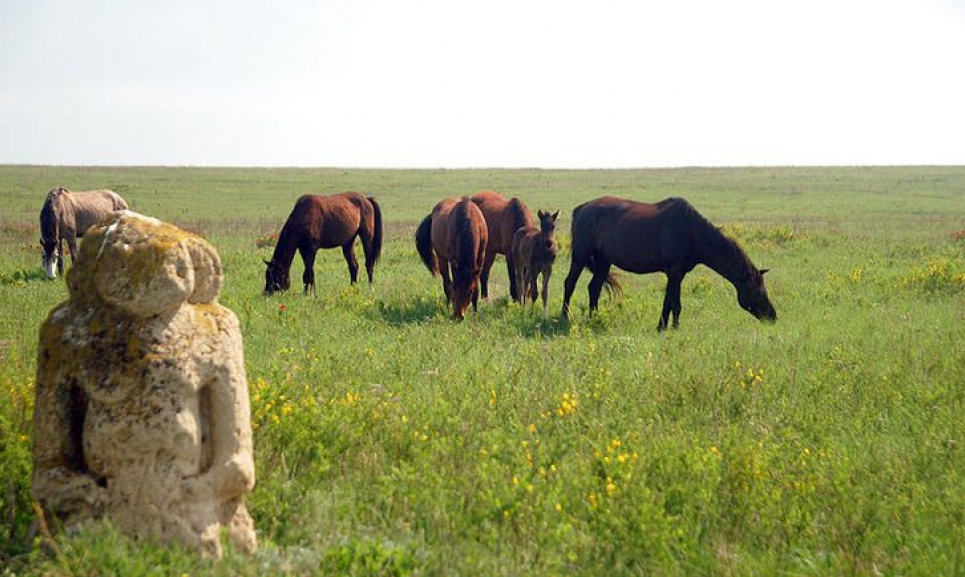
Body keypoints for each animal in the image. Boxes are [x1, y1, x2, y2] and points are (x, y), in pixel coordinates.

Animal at [556, 196, 776, 328]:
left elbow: (672, 302)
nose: (773, 316)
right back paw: (565, 316)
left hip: (603, 261)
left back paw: (594, 318)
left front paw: (670, 327)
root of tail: (581, 209)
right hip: (580, 256)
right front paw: (666, 327)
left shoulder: (678, 274)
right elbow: (672, 303)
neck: (691, 231)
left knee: (594, 287)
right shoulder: (674, 272)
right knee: (570, 284)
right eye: (758, 291)